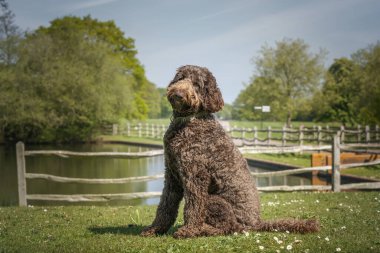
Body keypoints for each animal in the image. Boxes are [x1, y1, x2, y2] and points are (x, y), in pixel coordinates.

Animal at [141, 65, 320, 239]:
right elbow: (165, 205)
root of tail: (256, 223)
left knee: (229, 227)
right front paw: (155, 229)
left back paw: (203, 229)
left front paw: (189, 230)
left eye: (197, 84)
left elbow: (193, 207)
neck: (187, 122)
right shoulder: (172, 175)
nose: (178, 94)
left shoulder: (195, 176)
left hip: (214, 200)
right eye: (181, 78)